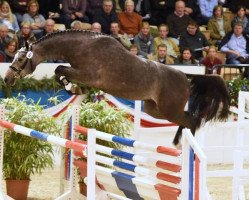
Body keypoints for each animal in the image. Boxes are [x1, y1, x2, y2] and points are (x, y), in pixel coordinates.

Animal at [3, 29, 230, 146]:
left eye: (21, 59)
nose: (6, 79)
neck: (82, 46)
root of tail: (185, 75)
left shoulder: (89, 75)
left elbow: (60, 69)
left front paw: (74, 88)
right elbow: (59, 72)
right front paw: (74, 89)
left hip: (169, 109)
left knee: (192, 120)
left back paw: (185, 145)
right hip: (154, 109)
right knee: (187, 118)